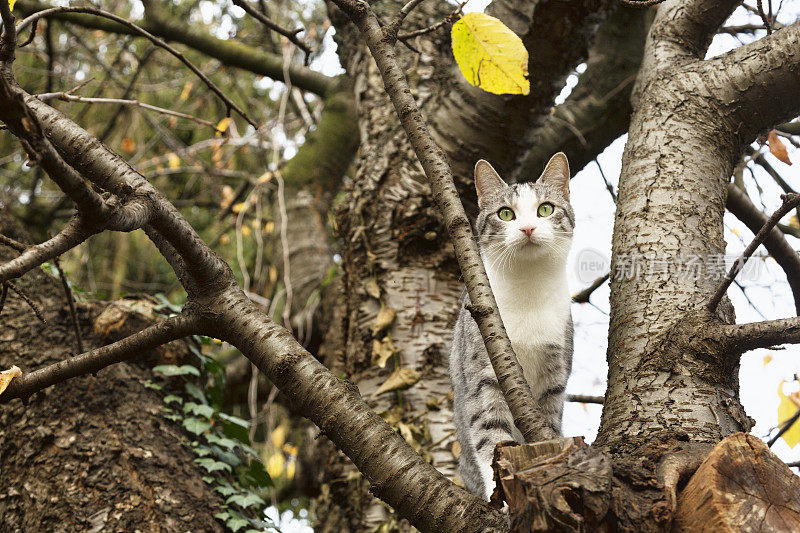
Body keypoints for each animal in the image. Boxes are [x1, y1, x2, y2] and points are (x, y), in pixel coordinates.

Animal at [450, 153, 576, 498]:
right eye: (506, 213)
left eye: (545, 208)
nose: (528, 227)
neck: (528, 286)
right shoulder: (484, 374)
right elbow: (492, 437)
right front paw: (503, 498)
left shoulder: (555, 376)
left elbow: (548, 427)